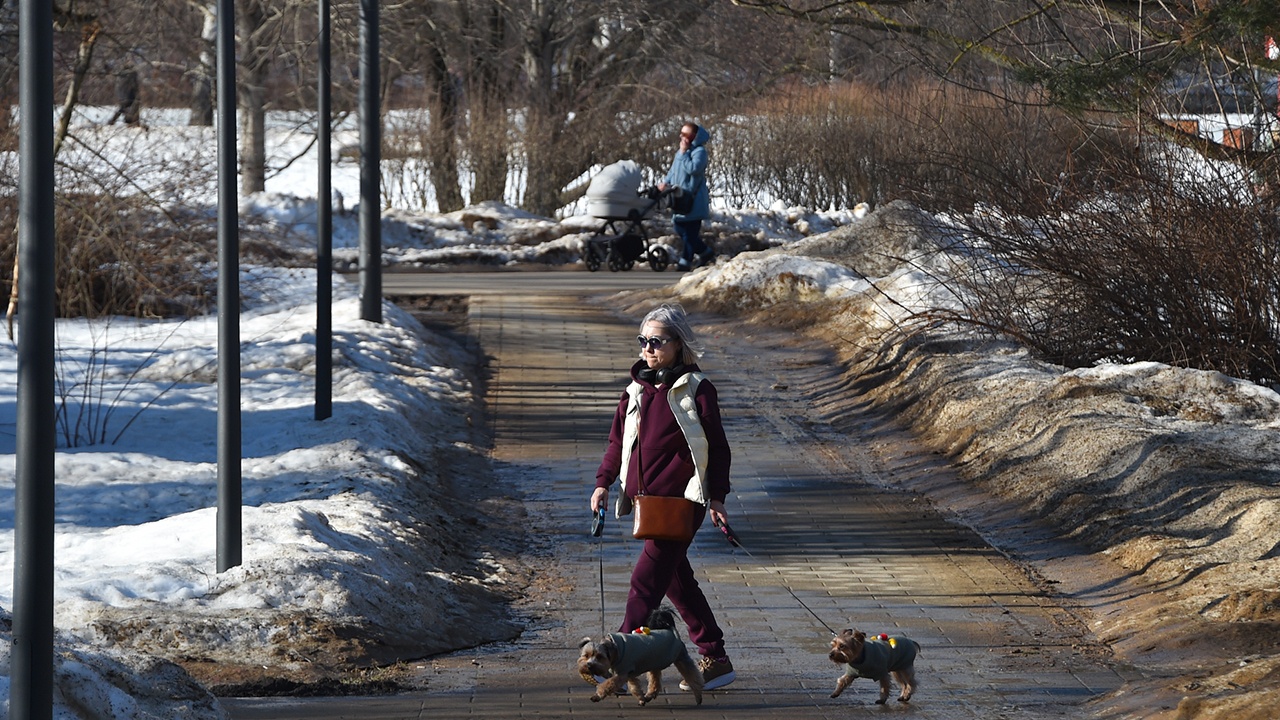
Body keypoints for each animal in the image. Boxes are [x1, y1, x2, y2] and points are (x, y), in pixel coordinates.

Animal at [578, 602, 706, 702]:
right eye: (586, 656)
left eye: (600, 656)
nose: (589, 665)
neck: (615, 650)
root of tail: (670, 628)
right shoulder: (628, 673)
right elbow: (634, 686)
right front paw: (641, 698)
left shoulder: (623, 673)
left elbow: (608, 684)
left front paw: (597, 695)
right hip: (655, 662)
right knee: (655, 680)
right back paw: (650, 695)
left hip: (681, 658)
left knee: (693, 675)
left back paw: (698, 695)